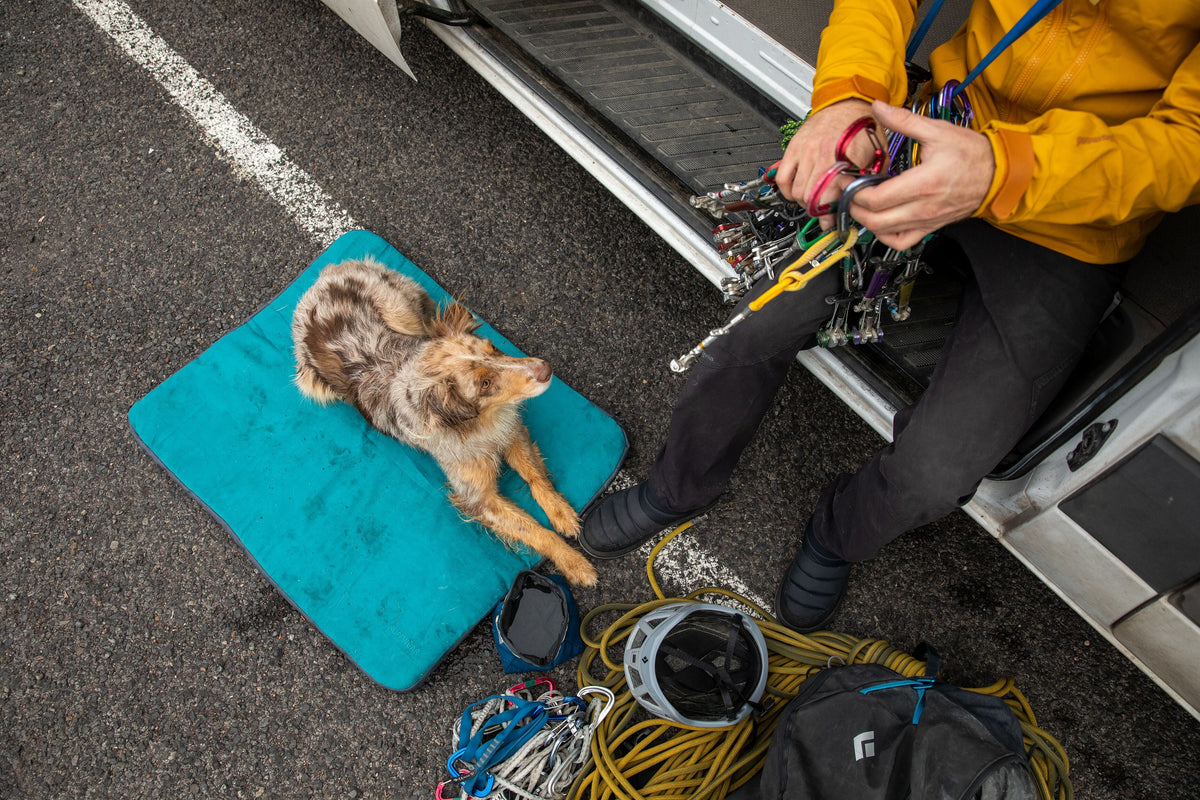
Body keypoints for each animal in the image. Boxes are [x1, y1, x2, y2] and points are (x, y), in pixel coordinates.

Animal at [291, 257, 600, 587]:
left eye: (493, 348)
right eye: (485, 384)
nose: (545, 369)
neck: (475, 424)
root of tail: (323, 276)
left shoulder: (510, 429)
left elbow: (535, 475)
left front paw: (561, 512)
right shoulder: (479, 499)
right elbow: (535, 532)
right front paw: (574, 562)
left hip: (400, 311)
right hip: (314, 386)